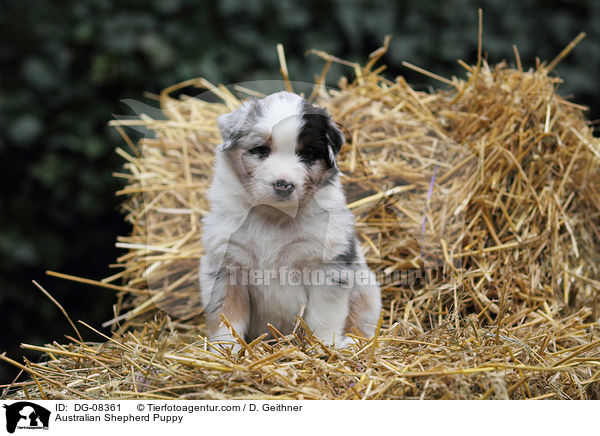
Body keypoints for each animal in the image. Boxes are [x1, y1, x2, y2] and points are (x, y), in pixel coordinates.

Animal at [200, 92, 380, 350]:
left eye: (307, 154)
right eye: (261, 150)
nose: (283, 184)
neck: (275, 217)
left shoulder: (327, 267)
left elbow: (322, 316)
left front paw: (322, 346)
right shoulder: (226, 267)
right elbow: (226, 318)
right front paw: (224, 351)